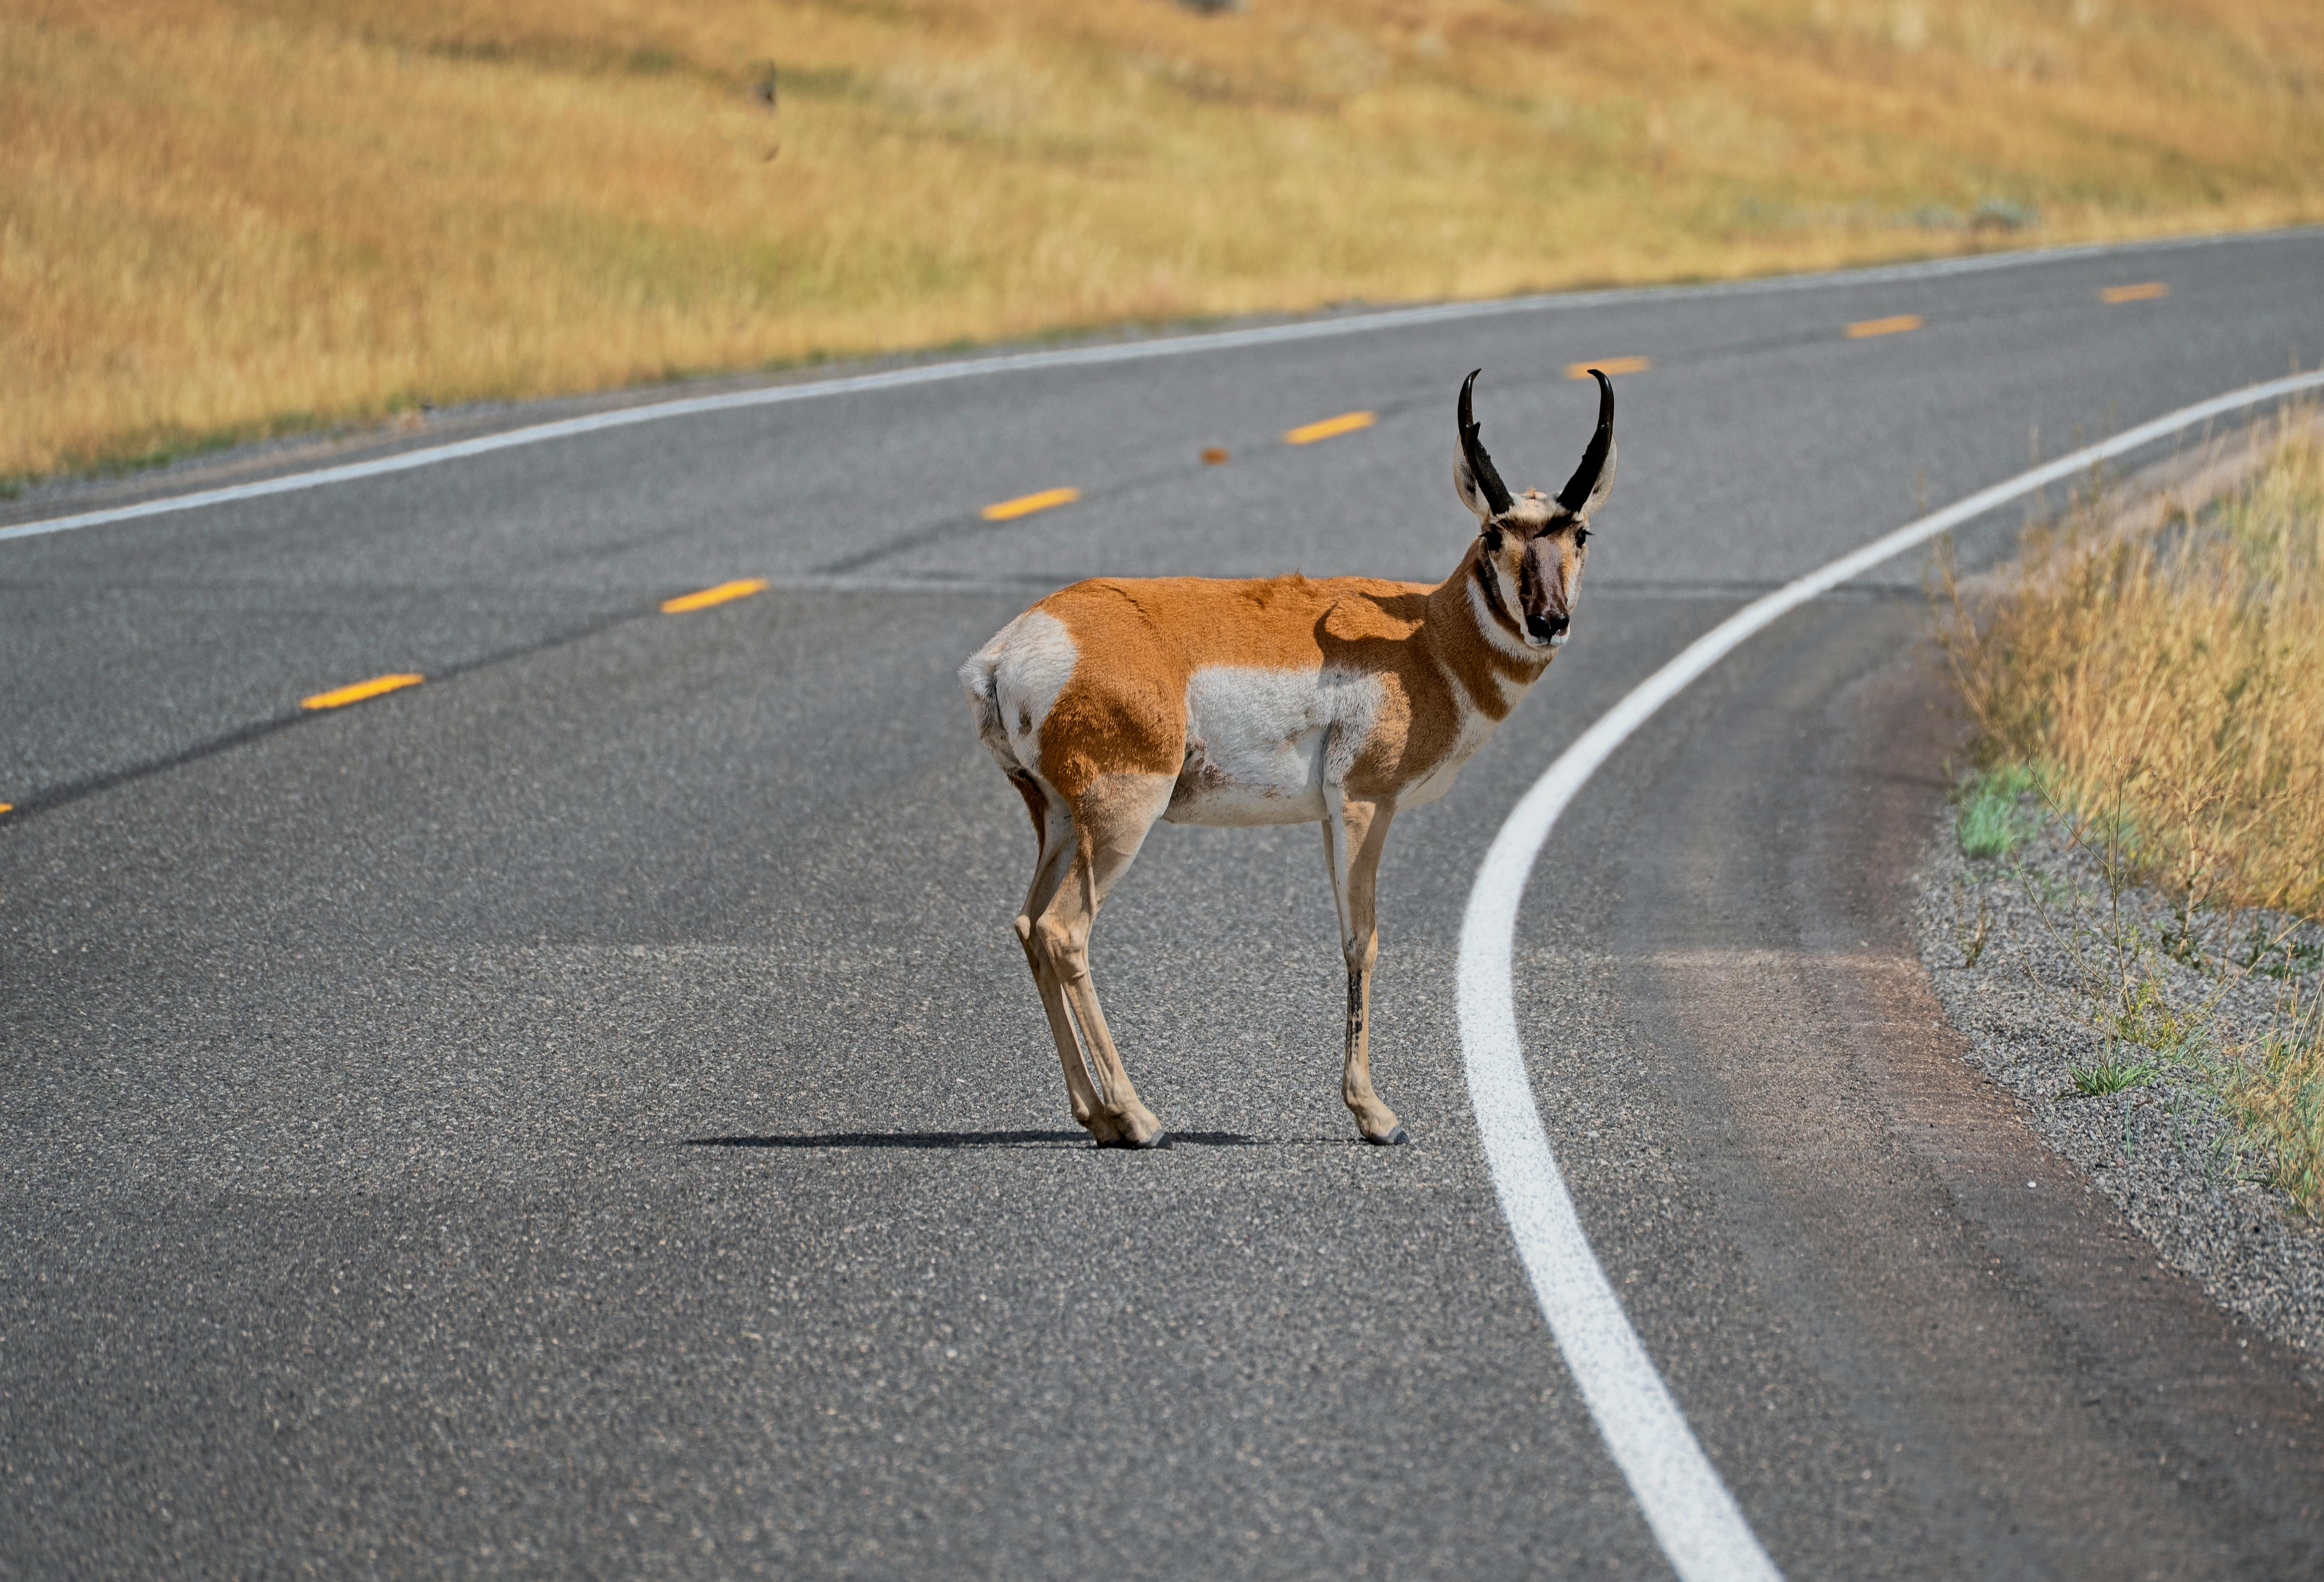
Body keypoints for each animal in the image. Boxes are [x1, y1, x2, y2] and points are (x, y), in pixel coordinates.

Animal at [961, 369, 1616, 1148]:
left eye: (1579, 532)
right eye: (1493, 534)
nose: (1548, 621)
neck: (1425, 639)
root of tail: (1011, 648)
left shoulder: (1330, 815)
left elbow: (1349, 937)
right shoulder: (1366, 802)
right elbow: (1362, 940)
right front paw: (1376, 1116)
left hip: (1059, 821)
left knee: (1028, 926)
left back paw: (1097, 1116)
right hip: (1119, 821)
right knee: (1064, 932)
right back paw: (1139, 1118)